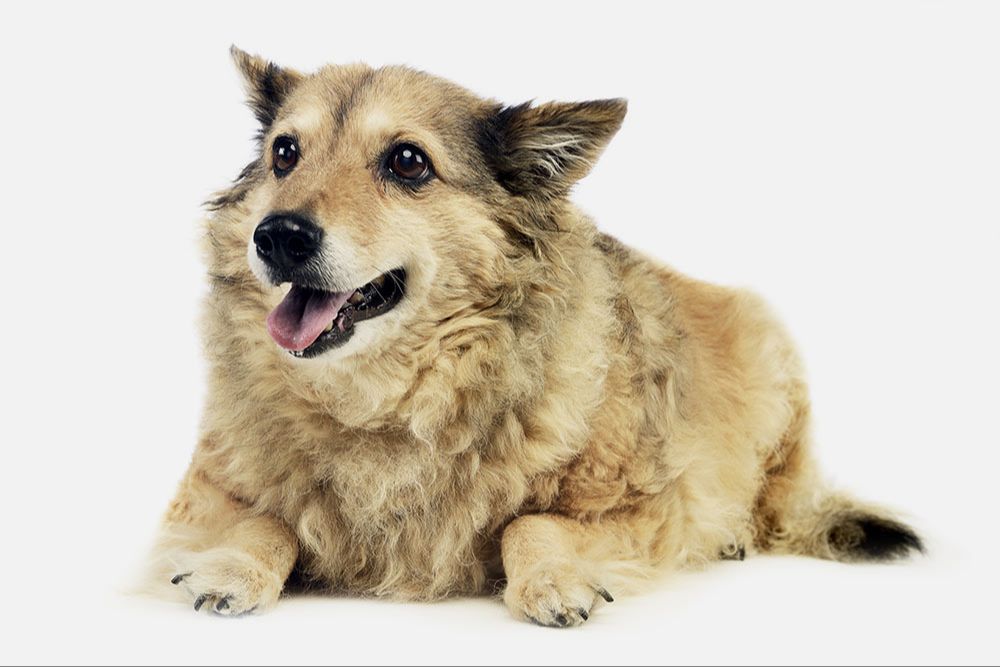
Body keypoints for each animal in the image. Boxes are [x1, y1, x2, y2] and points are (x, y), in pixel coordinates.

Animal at [152, 48, 924, 628]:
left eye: (407, 162)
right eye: (285, 153)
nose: (276, 236)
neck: (390, 400)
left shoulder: (644, 507)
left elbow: (528, 525)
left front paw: (553, 580)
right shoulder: (201, 490)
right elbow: (269, 522)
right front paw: (227, 565)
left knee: (774, 500)